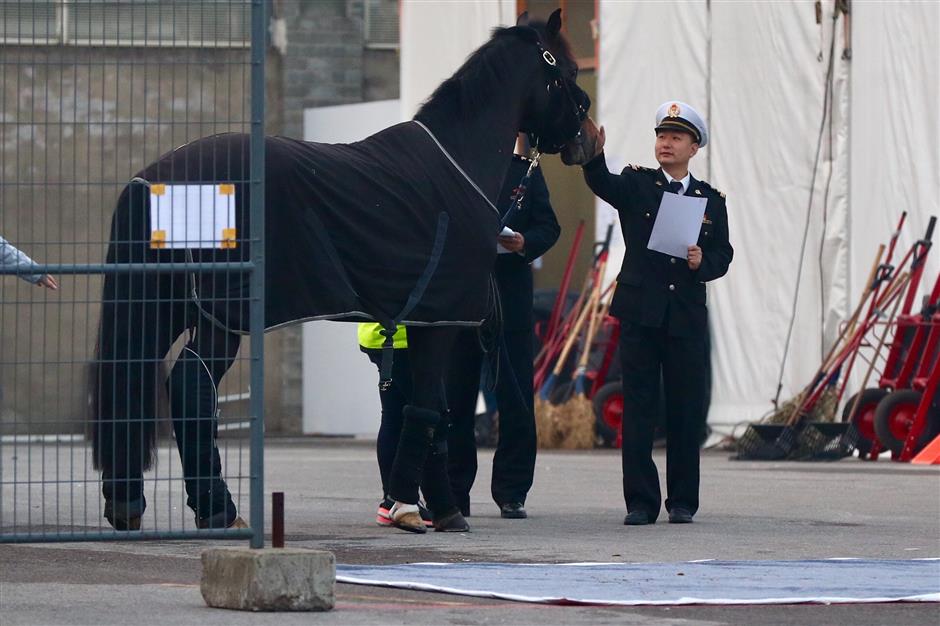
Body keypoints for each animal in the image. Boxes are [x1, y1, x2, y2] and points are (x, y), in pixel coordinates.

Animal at [90, 9, 588, 528]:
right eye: (570, 70)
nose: (589, 138)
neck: (458, 162)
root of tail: (155, 176)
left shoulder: (427, 320)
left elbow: (430, 410)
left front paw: (422, 504)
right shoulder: (443, 321)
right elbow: (429, 409)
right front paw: (428, 509)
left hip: (164, 306)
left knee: (134, 380)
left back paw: (129, 505)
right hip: (218, 314)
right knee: (192, 385)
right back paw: (219, 510)